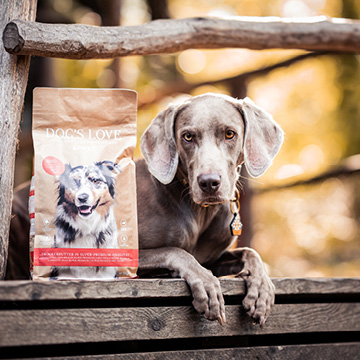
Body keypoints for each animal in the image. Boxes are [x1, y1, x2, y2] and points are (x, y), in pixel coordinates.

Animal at [6, 92, 282, 326]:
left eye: (230, 134)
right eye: (188, 136)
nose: (209, 183)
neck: (198, 211)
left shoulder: (213, 258)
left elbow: (249, 252)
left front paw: (261, 289)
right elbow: (176, 251)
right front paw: (205, 283)